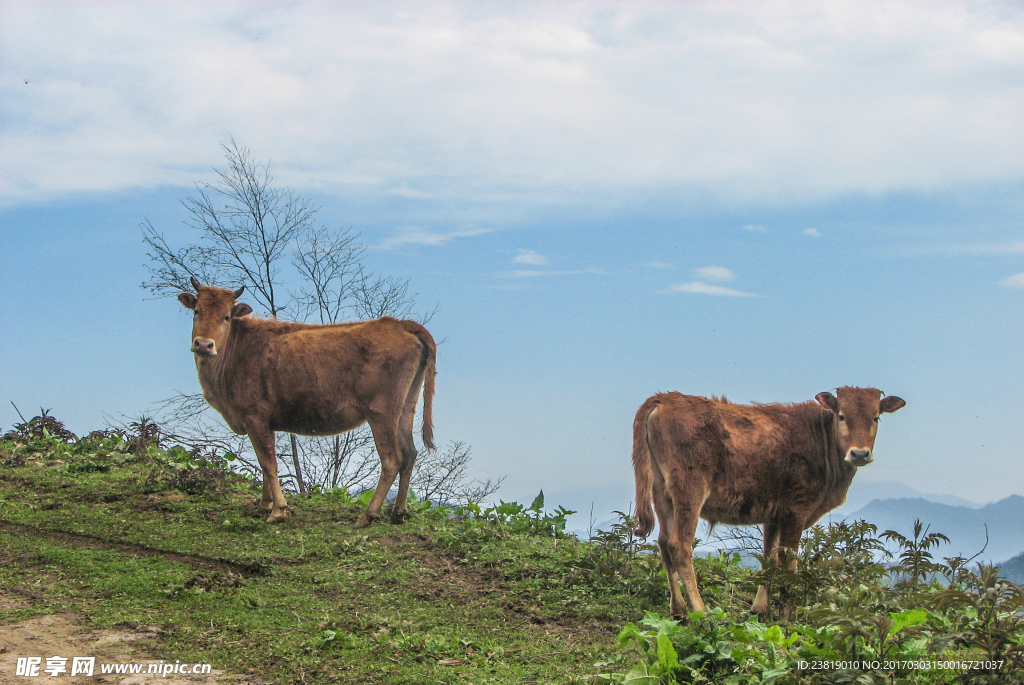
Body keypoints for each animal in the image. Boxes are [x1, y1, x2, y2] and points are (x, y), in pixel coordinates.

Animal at [178, 276, 434, 524]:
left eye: (227, 316)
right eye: (197, 311)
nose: (204, 344)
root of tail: (399, 323)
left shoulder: (254, 415)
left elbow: (269, 462)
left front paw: (278, 510)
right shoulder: (264, 421)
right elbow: (264, 462)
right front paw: (264, 505)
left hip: (381, 411)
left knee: (392, 459)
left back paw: (367, 516)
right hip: (405, 407)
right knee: (410, 454)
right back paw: (398, 513)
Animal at [630, 387, 905, 618]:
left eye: (876, 417)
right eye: (841, 416)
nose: (859, 453)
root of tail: (664, 399)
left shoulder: (774, 514)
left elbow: (768, 559)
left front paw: (760, 608)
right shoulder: (796, 510)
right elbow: (788, 563)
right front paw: (786, 616)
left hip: (660, 491)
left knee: (663, 543)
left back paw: (678, 610)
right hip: (690, 489)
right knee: (680, 545)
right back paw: (700, 610)